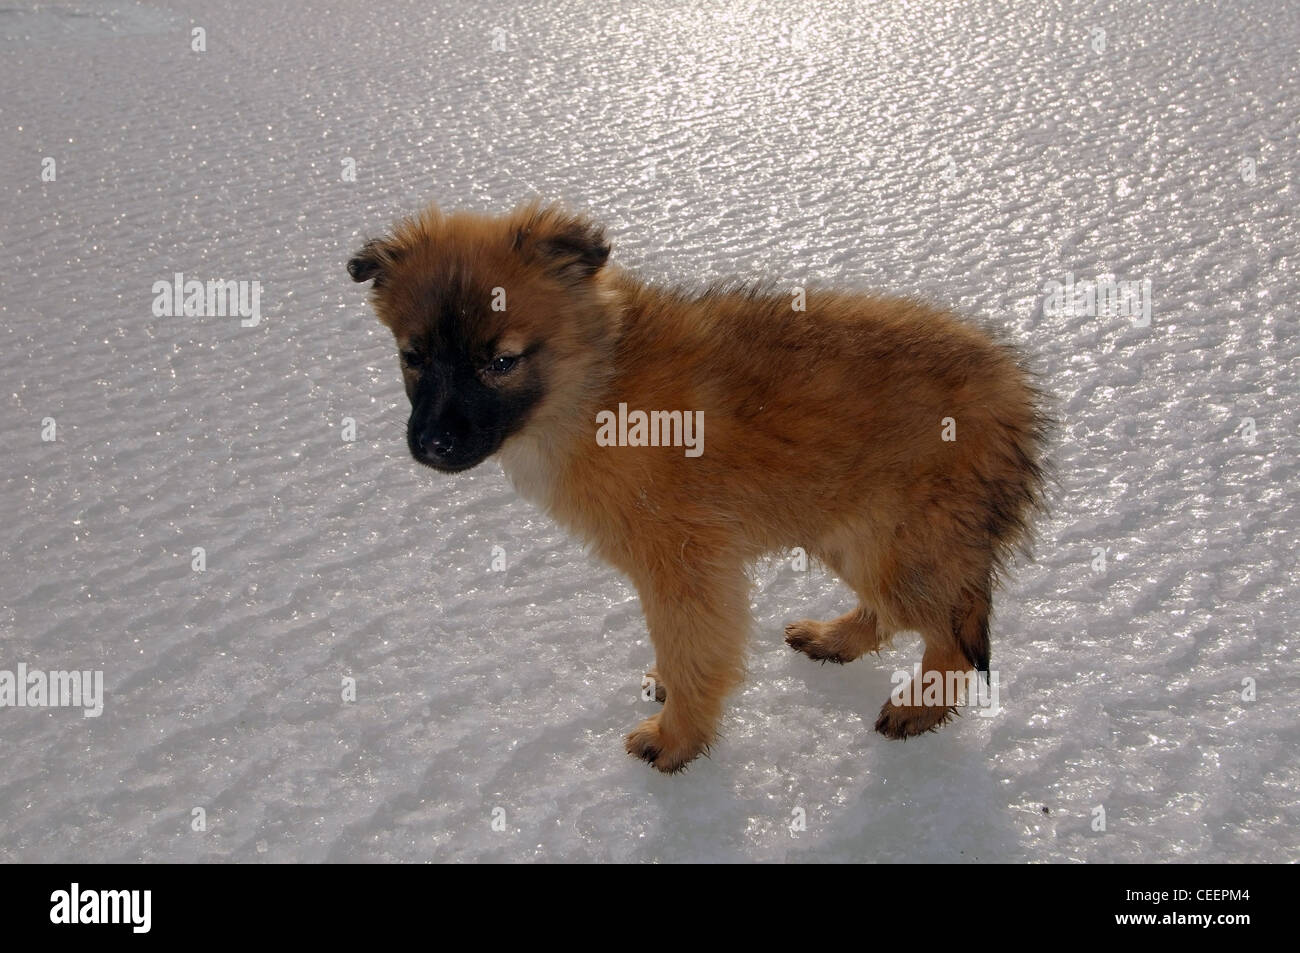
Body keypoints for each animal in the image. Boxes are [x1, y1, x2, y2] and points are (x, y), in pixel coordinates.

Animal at [351, 200, 1050, 774]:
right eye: (413, 357)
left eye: (501, 362)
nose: (432, 445)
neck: (596, 387)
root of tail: (1012, 393)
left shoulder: (686, 565)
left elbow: (692, 651)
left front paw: (676, 738)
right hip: (854, 533)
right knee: (898, 616)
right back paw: (837, 640)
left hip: (898, 544)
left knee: (951, 641)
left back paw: (917, 707)